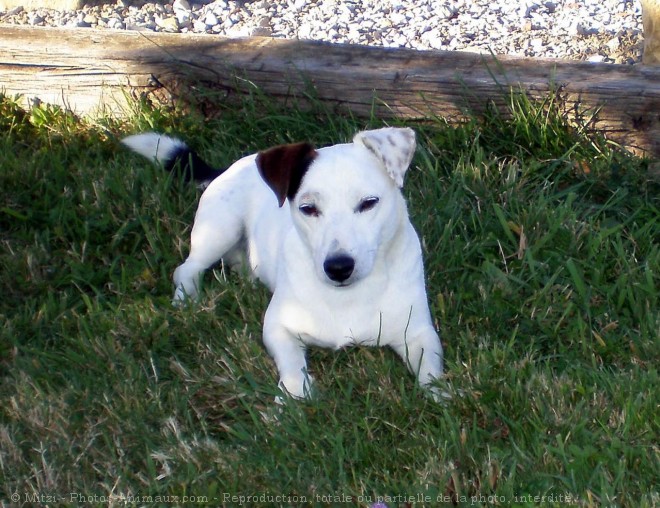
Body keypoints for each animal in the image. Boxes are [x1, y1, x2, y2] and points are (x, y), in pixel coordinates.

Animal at [124, 127, 444, 400]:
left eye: (368, 203)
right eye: (308, 208)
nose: (338, 267)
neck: (349, 295)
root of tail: (230, 167)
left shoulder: (418, 333)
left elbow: (431, 369)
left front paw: (441, 397)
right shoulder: (277, 327)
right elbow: (291, 363)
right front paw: (293, 396)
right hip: (219, 229)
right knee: (187, 268)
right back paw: (186, 300)